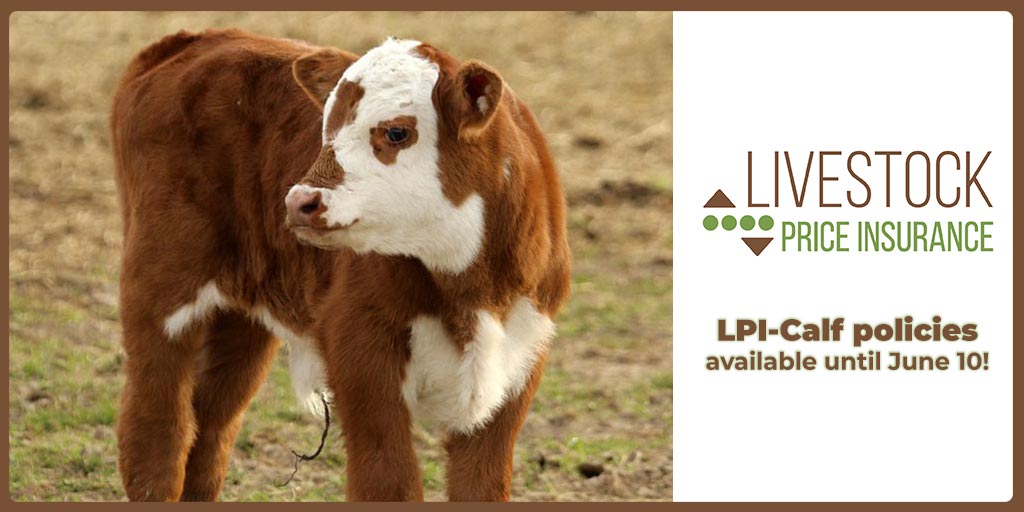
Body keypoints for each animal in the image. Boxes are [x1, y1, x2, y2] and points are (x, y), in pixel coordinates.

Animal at [109, 28, 571, 502]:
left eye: (397, 131)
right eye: (326, 127)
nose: (299, 201)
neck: (473, 290)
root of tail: (191, 40)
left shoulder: (520, 358)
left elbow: (482, 483)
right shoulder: (359, 345)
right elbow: (388, 479)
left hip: (241, 319)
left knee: (213, 425)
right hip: (159, 286)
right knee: (158, 430)